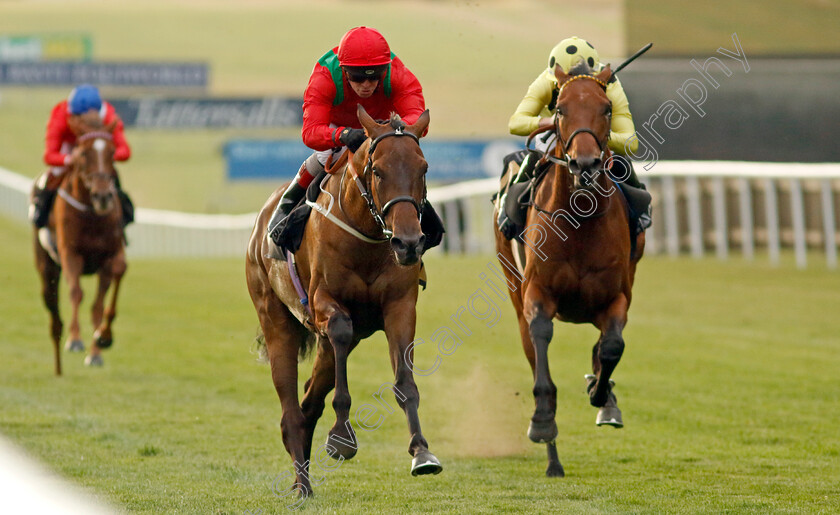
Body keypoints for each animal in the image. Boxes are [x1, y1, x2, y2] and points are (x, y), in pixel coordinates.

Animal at [33, 115, 126, 376]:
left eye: (112, 152)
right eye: (83, 153)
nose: (103, 197)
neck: (91, 215)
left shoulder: (110, 254)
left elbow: (102, 300)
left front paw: (102, 340)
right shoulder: (70, 253)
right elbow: (76, 292)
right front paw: (75, 340)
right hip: (46, 263)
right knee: (52, 306)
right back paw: (58, 362)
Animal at [246, 106, 442, 500]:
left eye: (423, 168)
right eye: (378, 170)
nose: (408, 243)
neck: (367, 237)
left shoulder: (400, 306)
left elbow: (405, 381)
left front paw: (421, 452)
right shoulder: (325, 302)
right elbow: (338, 330)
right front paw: (341, 437)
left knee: (308, 404)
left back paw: (301, 477)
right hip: (275, 318)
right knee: (291, 409)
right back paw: (303, 485)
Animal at [496, 62, 648, 478]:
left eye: (607, 109)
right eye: (560, 109)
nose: (585, 164)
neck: (579, 221)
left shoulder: (617, 296)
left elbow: (611, 346)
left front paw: (602, 395)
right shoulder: (537, 294)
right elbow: (542, 348)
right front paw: (542, 421)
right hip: (514, 290)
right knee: (532, 352)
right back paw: (552, 458)